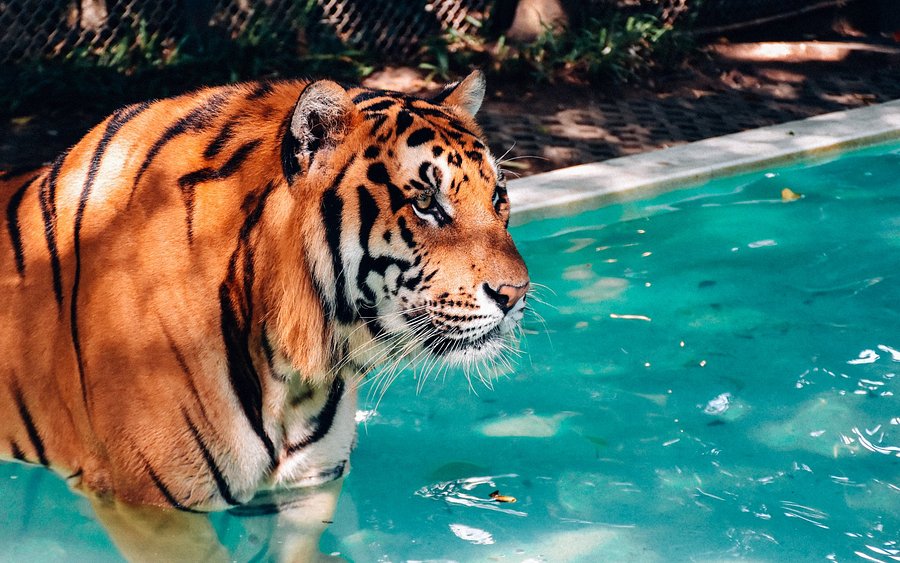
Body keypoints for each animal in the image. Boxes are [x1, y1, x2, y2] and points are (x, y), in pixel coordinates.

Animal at [0, 70, 529, 556]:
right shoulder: (150, 507)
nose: (516, 293)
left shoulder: (305, 488)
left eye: (498, 196)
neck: (291, 368)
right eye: (425, 203)